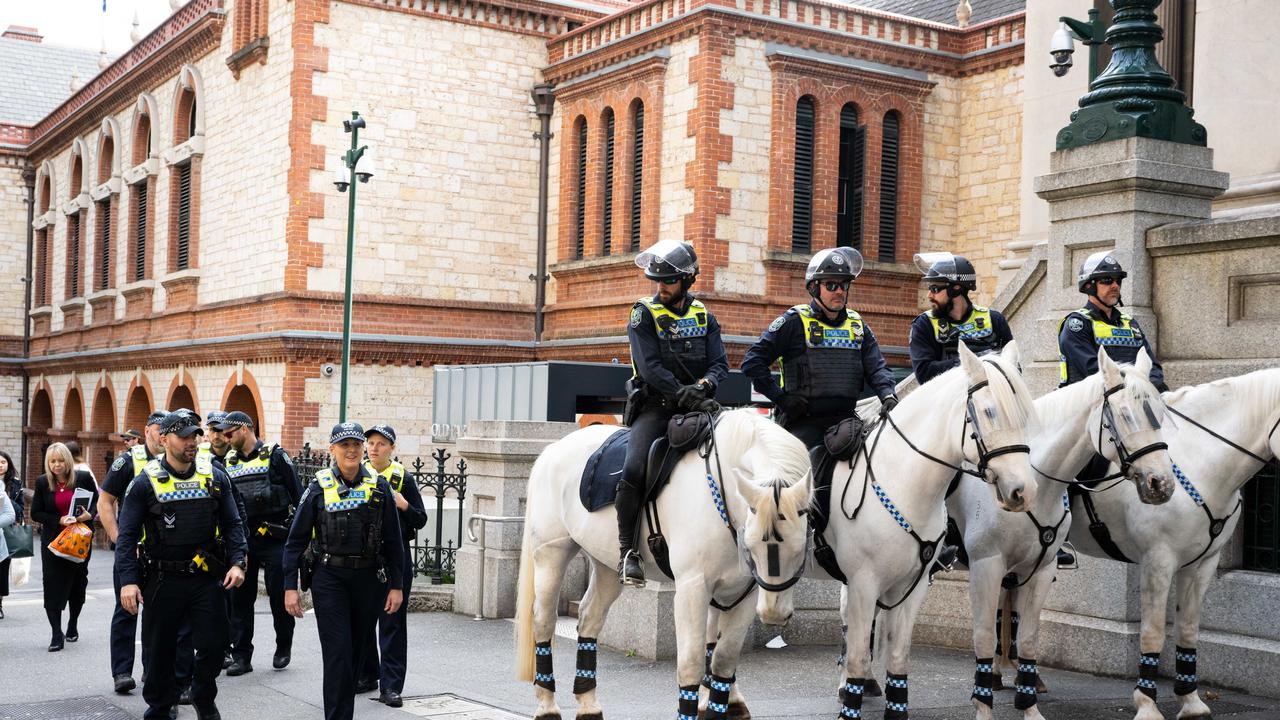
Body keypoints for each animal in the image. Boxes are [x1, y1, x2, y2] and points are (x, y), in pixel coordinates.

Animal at [509, 407, 808, 712]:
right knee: (543, 619)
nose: (774, 614)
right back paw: (547, 703)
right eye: (754, 544)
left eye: (800, 548)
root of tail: (553, 449)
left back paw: (588, 702)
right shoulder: (692, 588)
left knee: (590, 616)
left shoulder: (741, 592)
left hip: (606, 565)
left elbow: (722, 658)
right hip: (552, 552)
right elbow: (691, 663)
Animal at [819, 340, 1039, 717]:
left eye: (1026, 416)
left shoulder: (912, 584)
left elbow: (897, 656)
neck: (903, 480)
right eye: (989, 412)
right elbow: (861, 654)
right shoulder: (864, 581)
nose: (1023, 492)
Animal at [957, 345, 1172, 712]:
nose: (1162, 483)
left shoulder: (1040, 567)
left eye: (1160, 412)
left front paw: (1027, 697)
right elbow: (983, 635)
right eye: (1125, 415)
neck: (1036, 479)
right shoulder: (986, 564)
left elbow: (1028, 636)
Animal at [1070, 366, 1280, 717]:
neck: (1201, 461)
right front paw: (1146, 703)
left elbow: (1188, 628)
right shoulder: (1158, 560)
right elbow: (1153, 632)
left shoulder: (1202, 564)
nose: (1160, 486)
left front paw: (1190, 700)